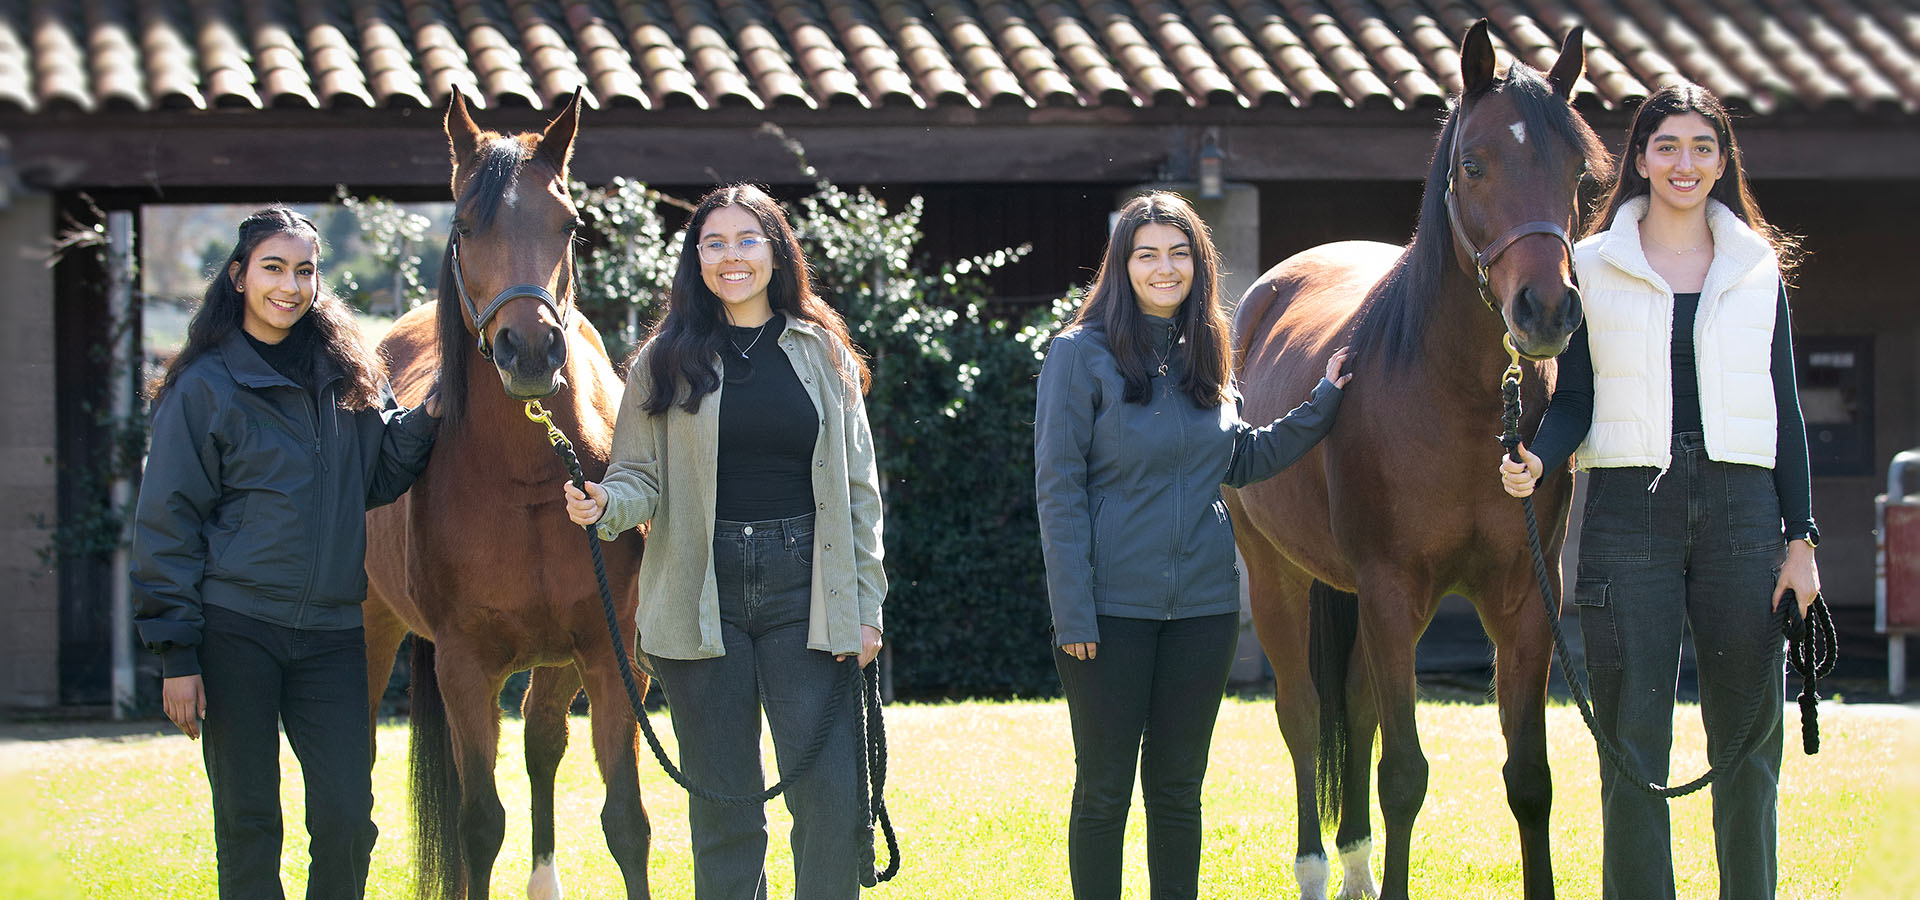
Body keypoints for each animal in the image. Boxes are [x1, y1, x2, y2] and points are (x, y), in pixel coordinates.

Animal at [360, 93, 652, 898]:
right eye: (464, 225)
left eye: (570, 225)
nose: (531, 349)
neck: (526, 476)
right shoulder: (463, 666)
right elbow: (478, 824)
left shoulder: (608, 657)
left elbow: (627, 822)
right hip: (370, 630)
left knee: (542, 742)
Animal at [1228, 21, 1605, 898]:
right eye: (1474, 164)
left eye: (1579, 172)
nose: (1545, 311)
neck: (1461, 401)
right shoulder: (1392, 589)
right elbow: (1403, 773)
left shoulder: (1526, 600)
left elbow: (1529, 779)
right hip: (1276, 572)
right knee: (1303, 716)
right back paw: (1314, 869)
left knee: (1356, 708)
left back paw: (1357, 870)